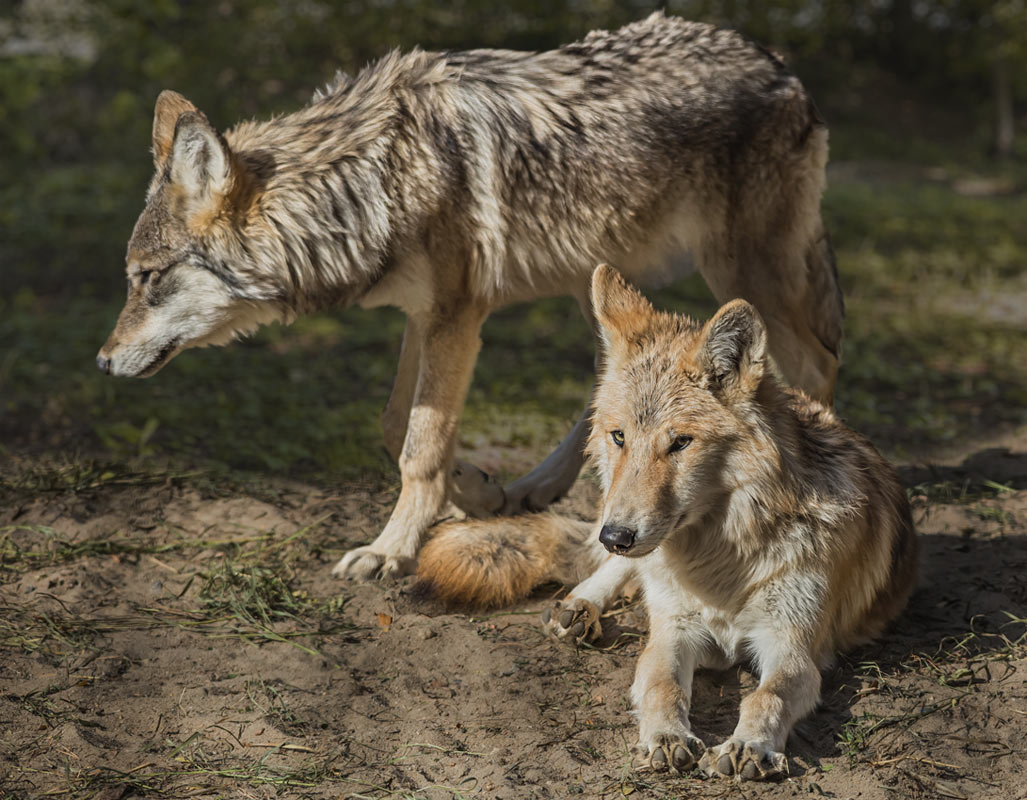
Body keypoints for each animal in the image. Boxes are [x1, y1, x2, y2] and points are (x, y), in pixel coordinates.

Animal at [96, 12, 842, 583]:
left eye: (146, 278)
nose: (101, 363)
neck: (372, 178)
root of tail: (780, 62)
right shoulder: (424, 315)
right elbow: (397, 425)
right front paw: (476, 493)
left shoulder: (458, 315)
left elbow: (418, 448)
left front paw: (390, 550)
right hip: (595, 283)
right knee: (606, 392)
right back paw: (538, 486)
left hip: (744, 272)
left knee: (813, 364)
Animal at [416, 264, 916, 780]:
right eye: (619, 436)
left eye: (680, 443)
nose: (617, 535)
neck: (721, 566)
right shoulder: (673, 632)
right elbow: (663, 686)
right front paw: (665, 737)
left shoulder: (791, 649)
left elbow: (766, 696)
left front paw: (748, 746)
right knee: (613, 573)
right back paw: (577, 609)